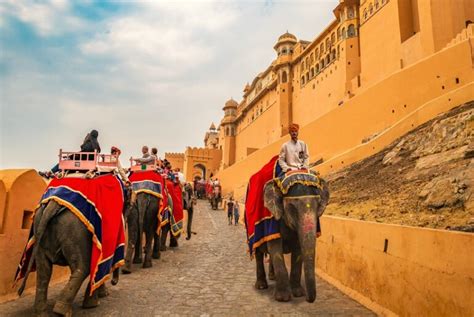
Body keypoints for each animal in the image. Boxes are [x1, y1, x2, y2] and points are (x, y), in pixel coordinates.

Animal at [254, 170, 328, 302]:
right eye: (292, 208)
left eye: (319, 205)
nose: (308, 299)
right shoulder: (273, 221)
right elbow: (275, 249)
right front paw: (283, 298)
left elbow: (298, 251)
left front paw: (298, 294)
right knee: (258, 253)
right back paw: (261, 286)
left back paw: (272, 277)